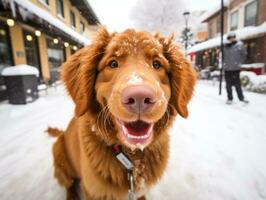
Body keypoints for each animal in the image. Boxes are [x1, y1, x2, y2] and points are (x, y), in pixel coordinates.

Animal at [47, 27, 197, 200]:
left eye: (157, 64)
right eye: (113, 63)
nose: (139, 97)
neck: (133, 159)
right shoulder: (93, 191)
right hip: (59, 154)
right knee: (69, 184)